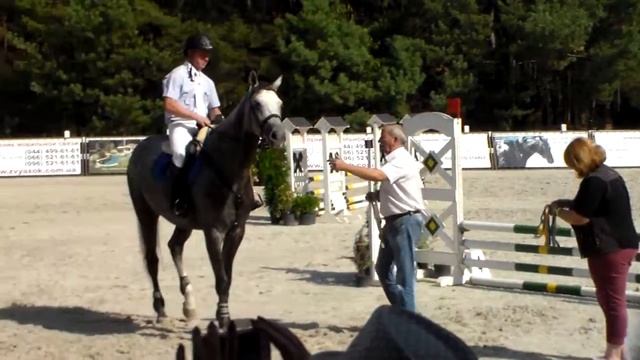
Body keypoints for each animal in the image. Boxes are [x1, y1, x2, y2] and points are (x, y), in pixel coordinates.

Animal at [125, 72, 284, 326]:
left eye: (279, 104)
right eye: (257, 104)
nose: (278, 136)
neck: (230, 171)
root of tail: (140, 147)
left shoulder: (236, 231)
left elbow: (228, 277)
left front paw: (223, 314)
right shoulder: (214, 231)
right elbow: (221, 277)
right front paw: (223, 317)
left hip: (183, 221)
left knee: (175, 246)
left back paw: (189, 304)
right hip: (145, 213)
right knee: (152, 259)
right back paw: (160, 309)